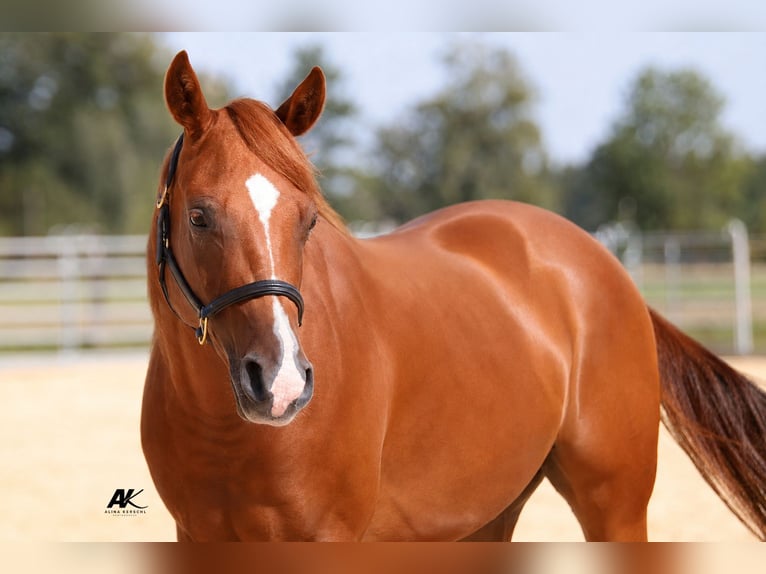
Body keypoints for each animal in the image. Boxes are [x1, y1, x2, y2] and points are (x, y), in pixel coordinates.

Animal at [141, 50, 766, 541]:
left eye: (308, 220)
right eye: (199, 217)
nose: (282, 384)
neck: (226, 434)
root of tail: (604, 266)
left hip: (615, 508)